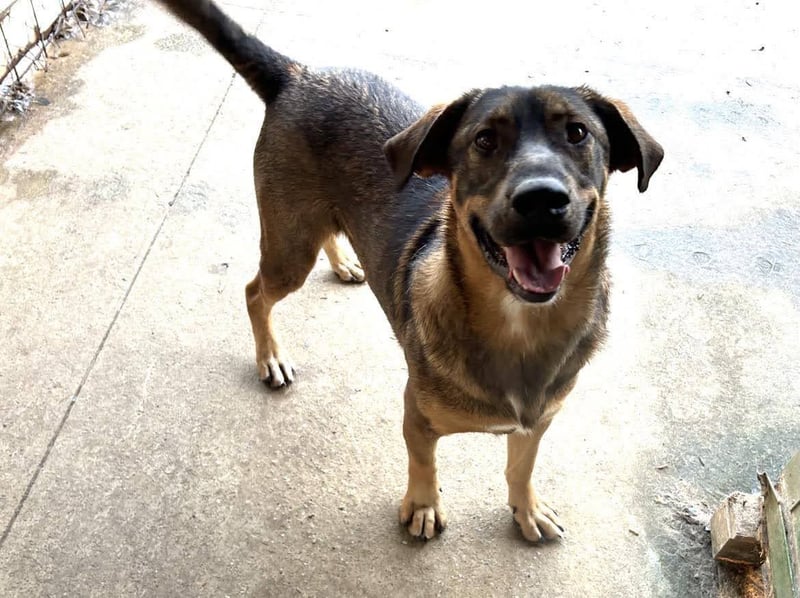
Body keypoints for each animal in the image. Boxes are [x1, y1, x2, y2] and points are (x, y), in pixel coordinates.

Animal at [157, 0, 664, 542]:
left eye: (577, 133)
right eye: (484, 140)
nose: (541, 199)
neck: (519, 326)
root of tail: (298, 74)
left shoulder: (539, 421)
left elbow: (520, 466)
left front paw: (526, 509)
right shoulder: (416, 415)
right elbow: (424, 463)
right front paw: (422, 506)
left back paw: (345, 262)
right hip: (290, 247)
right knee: (255, 292)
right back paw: (270, 356)